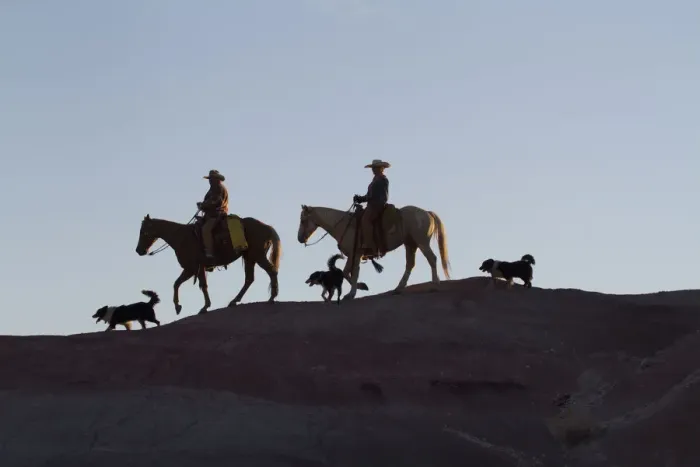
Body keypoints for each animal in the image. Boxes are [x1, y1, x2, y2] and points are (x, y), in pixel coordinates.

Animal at [135, 214, 282, 315]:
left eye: (143, 232)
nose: (139, 250)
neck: (181, 237)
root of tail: (266, 227)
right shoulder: (196, 269)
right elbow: (186, 284)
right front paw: (184, 306)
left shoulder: (192, 268)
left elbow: (192, 285)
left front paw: (199, 307)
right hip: (249, 258)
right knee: (249, 279)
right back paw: (234, 301)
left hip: (257, 256)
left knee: (271, 271)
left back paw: (272, 298)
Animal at [297, 204, 450, 300]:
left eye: (303, 220)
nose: (299, 238)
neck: (344, 225)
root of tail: (427, 213)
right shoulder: (354, 256)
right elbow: (350, 273)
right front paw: (359, 288)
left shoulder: (354, 255)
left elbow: (350, 273)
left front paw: (353, 292)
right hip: (410, 245)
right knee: (410, 264)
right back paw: (398, 288)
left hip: (422, 243)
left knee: (432, 259)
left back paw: (435, 285)